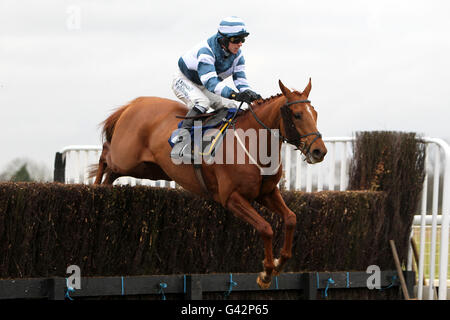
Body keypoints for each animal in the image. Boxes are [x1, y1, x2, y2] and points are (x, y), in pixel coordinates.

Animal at [93, 79, 328, 288]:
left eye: (315, 113)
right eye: (297, 115)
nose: (320, 151)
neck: (253, 144)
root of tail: (134, 104)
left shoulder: (267, 193)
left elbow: (291, 218)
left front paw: (279, 263)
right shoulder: (231, 198)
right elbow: (266, 228)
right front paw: (267, 273)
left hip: (149, 169)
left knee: (111, 172)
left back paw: (103, 189)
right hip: (126, 159)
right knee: (106, 155)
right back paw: (95, 187)